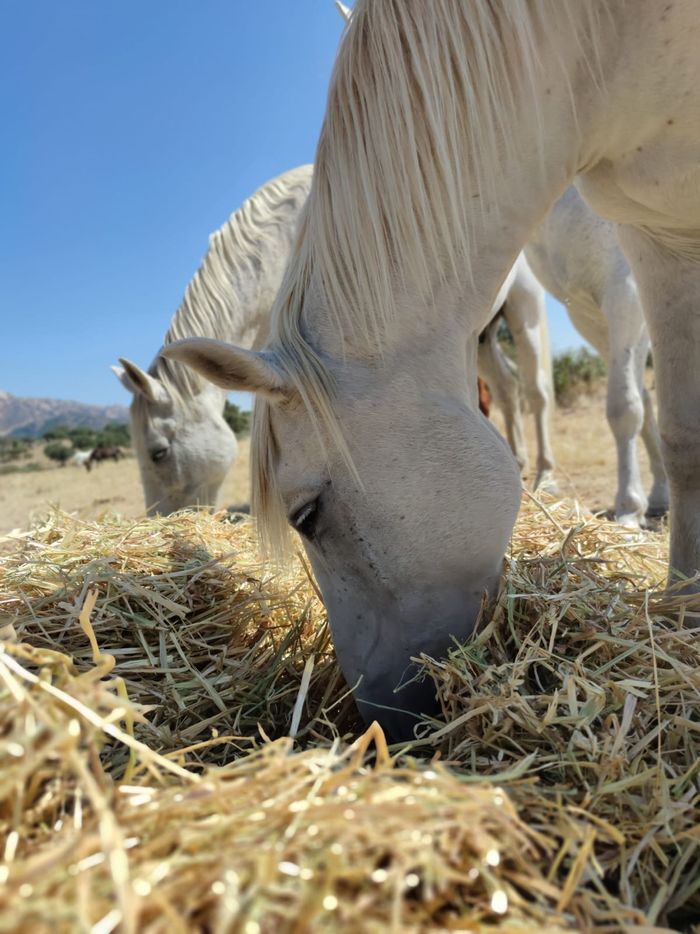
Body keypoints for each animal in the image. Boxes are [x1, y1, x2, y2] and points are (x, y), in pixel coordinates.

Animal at [162, 0, 700, 739]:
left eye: (306, 514)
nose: (380, 716)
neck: (596, 43)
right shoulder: (658, 236)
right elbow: (681, 435)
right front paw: (683, 608)